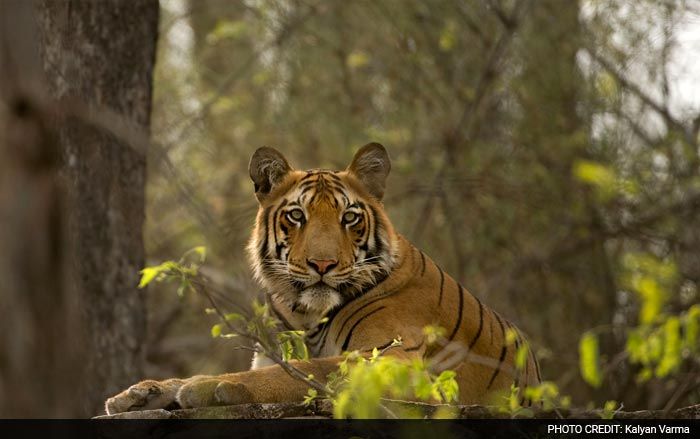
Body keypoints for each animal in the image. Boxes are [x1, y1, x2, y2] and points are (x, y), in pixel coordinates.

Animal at [105, 144, 540, 416]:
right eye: (297, 215)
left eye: (349, 217)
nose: (323, 264)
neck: (306, 315)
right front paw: (141, 393)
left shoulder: (392, 359)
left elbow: (300, 371)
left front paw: (206, 385)